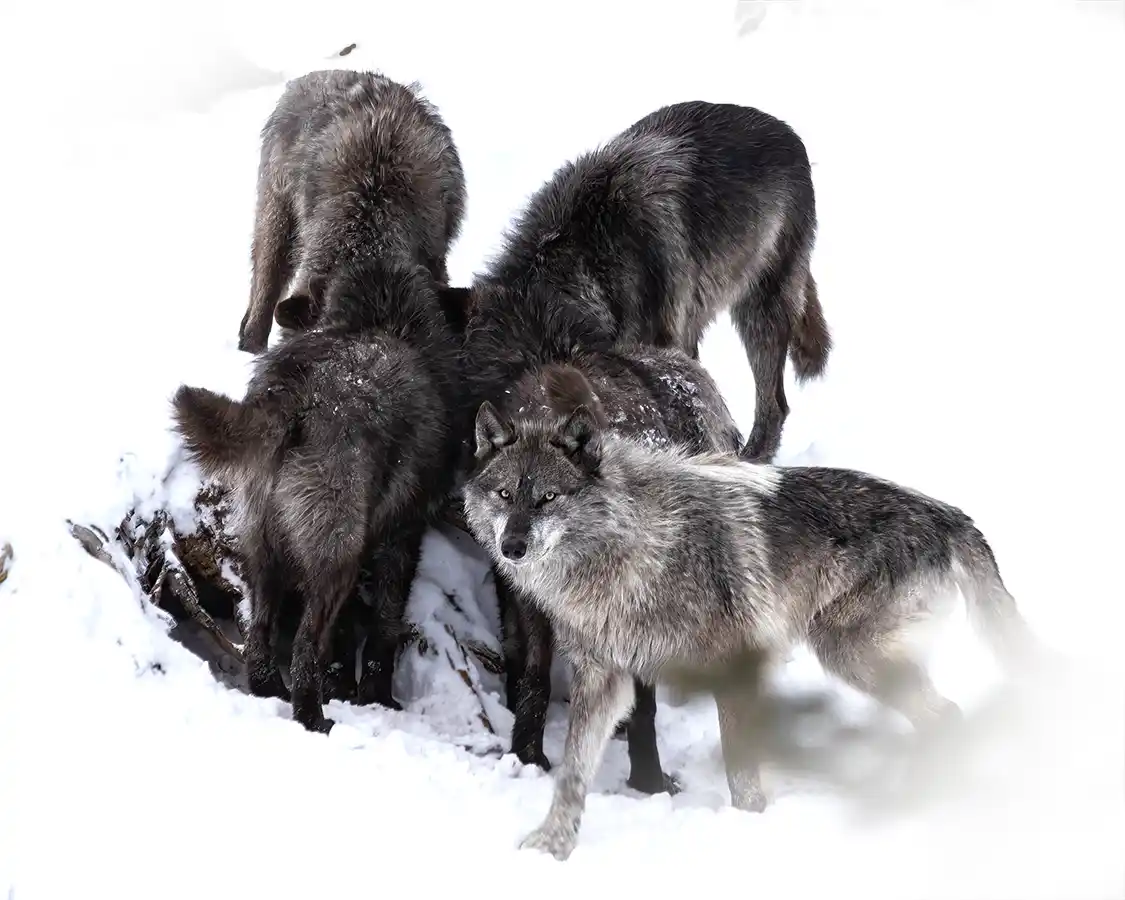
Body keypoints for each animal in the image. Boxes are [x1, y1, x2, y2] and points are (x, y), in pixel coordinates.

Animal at [175, 259, 463, 733]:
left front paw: (344, 685)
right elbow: (385, 624)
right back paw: (312, 716)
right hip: (335, 559)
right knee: (304, 645)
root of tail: (294, 395)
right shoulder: (401, 536)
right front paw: (375, 695)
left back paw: (271, 689)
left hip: (264, 549)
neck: (383, 314)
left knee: (261, 632)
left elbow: (346, 634)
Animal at [462, 392, 1039, 860]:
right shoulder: (604, 680)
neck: (632, 552)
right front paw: (553, 846)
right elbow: (574, 772)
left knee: (947, 715)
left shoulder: (732, 670)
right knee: (944, 716)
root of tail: (952, 516)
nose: (513, 547)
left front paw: (749, 831)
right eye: (505, 495)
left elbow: (741, 775)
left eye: (548, 497)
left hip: (848, 653)